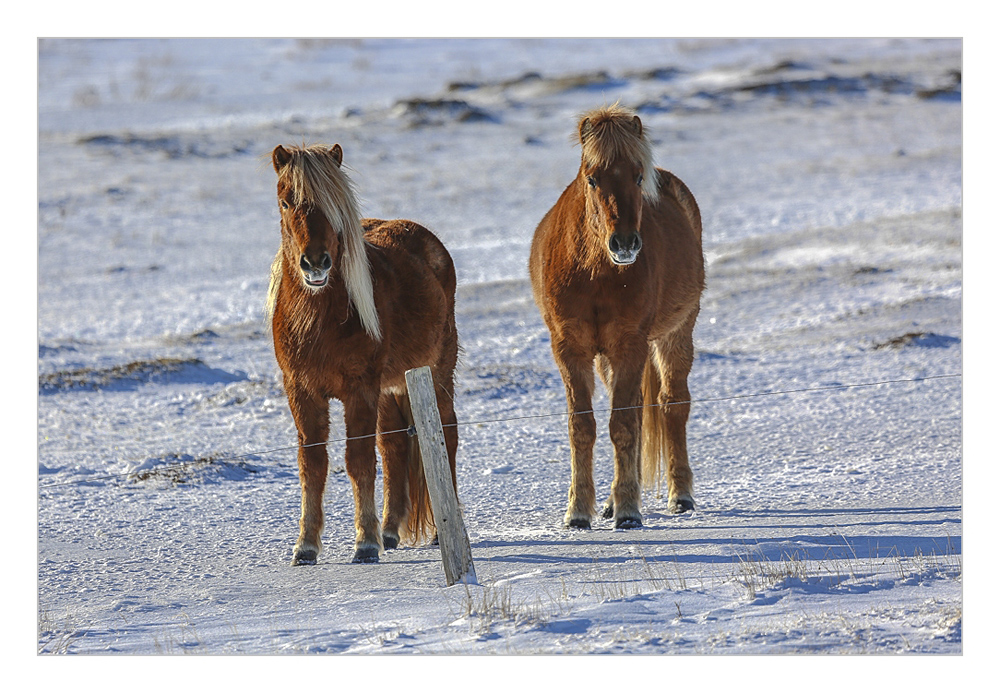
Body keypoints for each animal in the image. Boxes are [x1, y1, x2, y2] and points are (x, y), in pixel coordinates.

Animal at [262, 145, 458, 564]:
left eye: (335, 205)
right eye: (285, 201)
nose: (315, 263)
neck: (318, 322)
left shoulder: (360, 390)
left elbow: (359, 460)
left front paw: (365, 542)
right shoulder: (301, 392)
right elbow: (313, 464)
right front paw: (305, 545)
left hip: (436, 373)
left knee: (445, 435)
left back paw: (439, 530)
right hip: (391, 388)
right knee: (395, 446)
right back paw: (390, 530)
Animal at [528, 102, 708, 528]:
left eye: (638, 175)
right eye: (592, 178)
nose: (624, 243)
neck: (594, 274)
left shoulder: (630, 345)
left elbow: (623, 425)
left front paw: (628, 511)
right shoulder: (570, 349)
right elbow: (583, 426)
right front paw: (579, 511)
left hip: (676, 333)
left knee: (673, 404)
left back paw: (680, 496)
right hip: (609, 357)